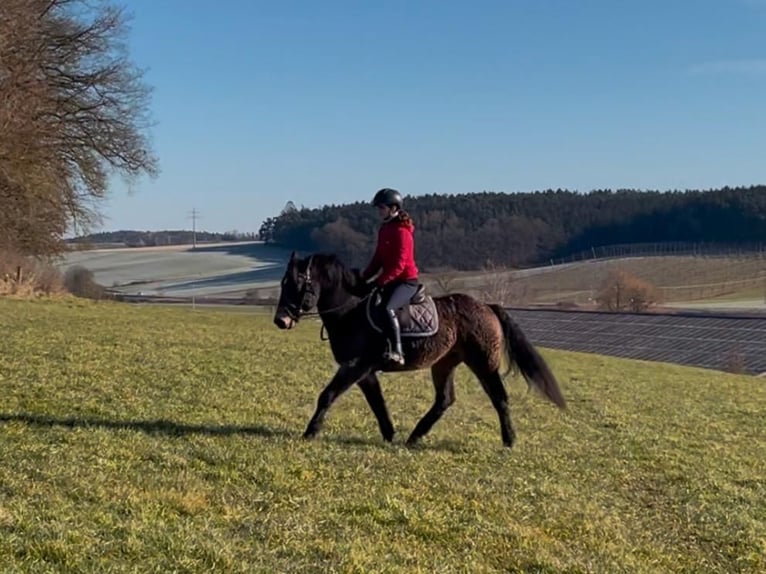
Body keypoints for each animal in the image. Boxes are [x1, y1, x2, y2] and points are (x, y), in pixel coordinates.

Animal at [272, 253, 568, 450]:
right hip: (444, 363)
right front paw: (390, 435)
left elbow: (328, 395)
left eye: (297, 283)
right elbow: (378, 403)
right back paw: (414, 437)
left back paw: (509, 442)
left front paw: (310, 432)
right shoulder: (364, 371)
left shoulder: (356, 366)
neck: (350, 311)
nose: (281, 321)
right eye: (283, 282)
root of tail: (487, 306)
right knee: (444, 400)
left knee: (500, 398)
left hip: (484, 363)